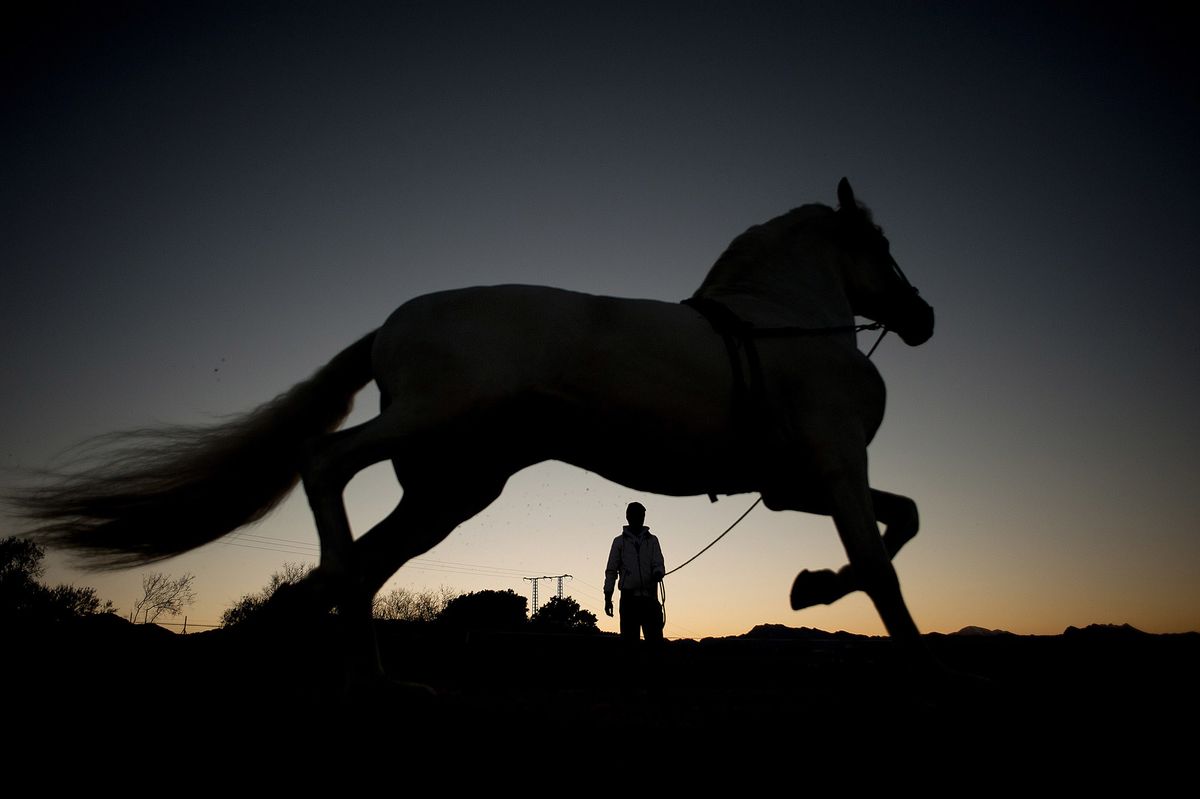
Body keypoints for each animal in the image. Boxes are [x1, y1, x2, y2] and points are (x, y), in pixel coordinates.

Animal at [12, 178, 934, 679]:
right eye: (882, 245)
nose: (922, 316)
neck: (785, 323)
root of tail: (390, 326)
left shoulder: (792, 486)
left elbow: (903, 524)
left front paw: (810, 585)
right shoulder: (836, 469)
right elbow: (883, 568)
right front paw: (889, 635)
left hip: (449, 489)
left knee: (365, 562)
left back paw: (366, 673)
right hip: (432, 431)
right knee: (324, 464)